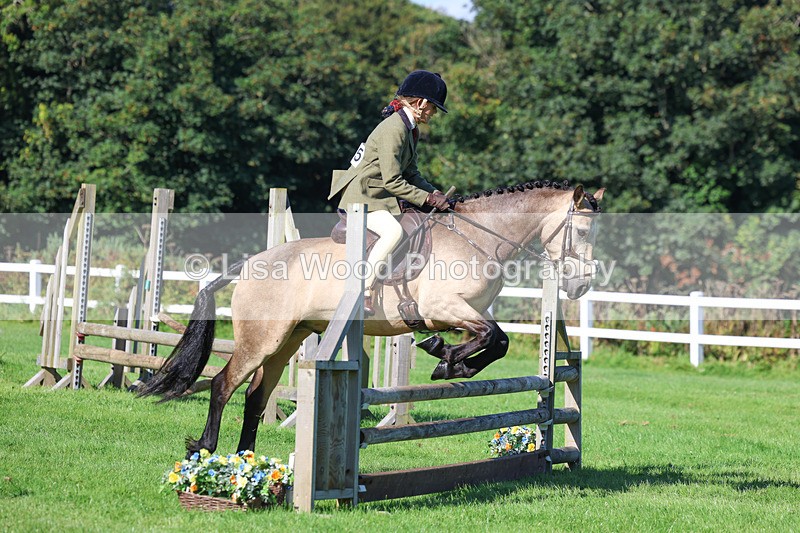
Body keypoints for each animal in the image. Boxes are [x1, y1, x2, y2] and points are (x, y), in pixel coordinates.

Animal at [139, 180, 605, 457]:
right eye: (582, 233)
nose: (580, 285)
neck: (479, 237)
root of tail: (251, 262)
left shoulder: (470, 311)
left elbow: (497, 340)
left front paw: (450, 359)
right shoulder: (444, 308)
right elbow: (491, 336)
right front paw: (445, 357)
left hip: (289, 340)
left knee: (255, 396)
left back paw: (245, 457)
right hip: (262, 340)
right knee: (223, 384)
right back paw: (204, 448)